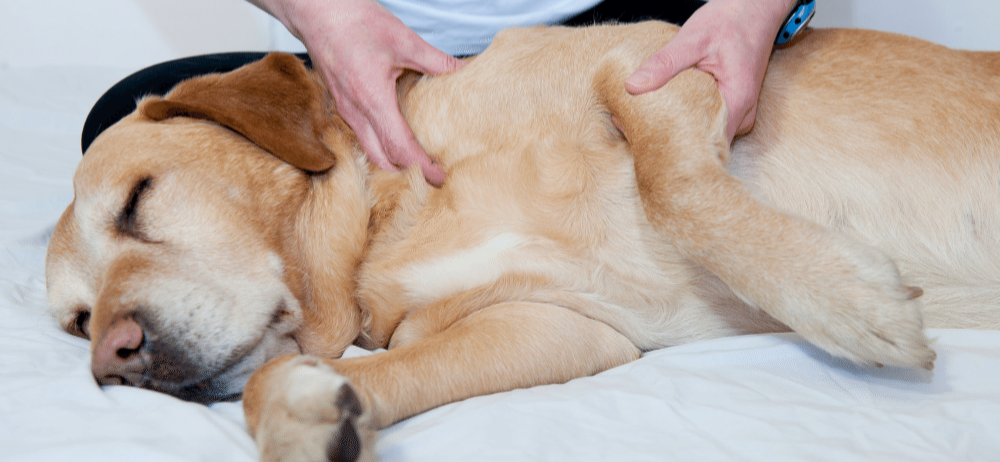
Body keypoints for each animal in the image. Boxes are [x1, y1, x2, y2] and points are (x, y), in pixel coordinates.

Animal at [45, 22, 992, 462]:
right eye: (75, 323)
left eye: (137, 199)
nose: (114, 357)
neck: (391, 226)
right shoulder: (557, 328)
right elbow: (317, 376)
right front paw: (301, 418)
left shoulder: (652, 62)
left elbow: (677, 189)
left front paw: (849, 303)